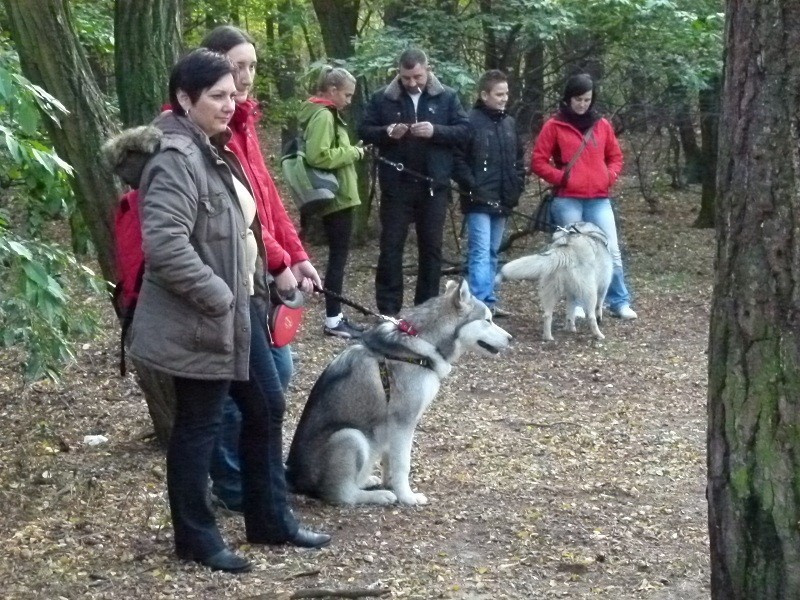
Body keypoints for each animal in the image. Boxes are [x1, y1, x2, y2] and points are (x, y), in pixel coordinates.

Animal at [288, 282, 512, 506]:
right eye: (487, 320)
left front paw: (390, 483)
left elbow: (390, 459)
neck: (423, 344)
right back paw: (378, 495)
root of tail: (293, 478)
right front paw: (407, 496)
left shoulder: (391, 424)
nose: (511, 338)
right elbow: (403, 463)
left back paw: (368, 481)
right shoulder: (403, 420)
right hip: (351, 436)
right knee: (343, 494)